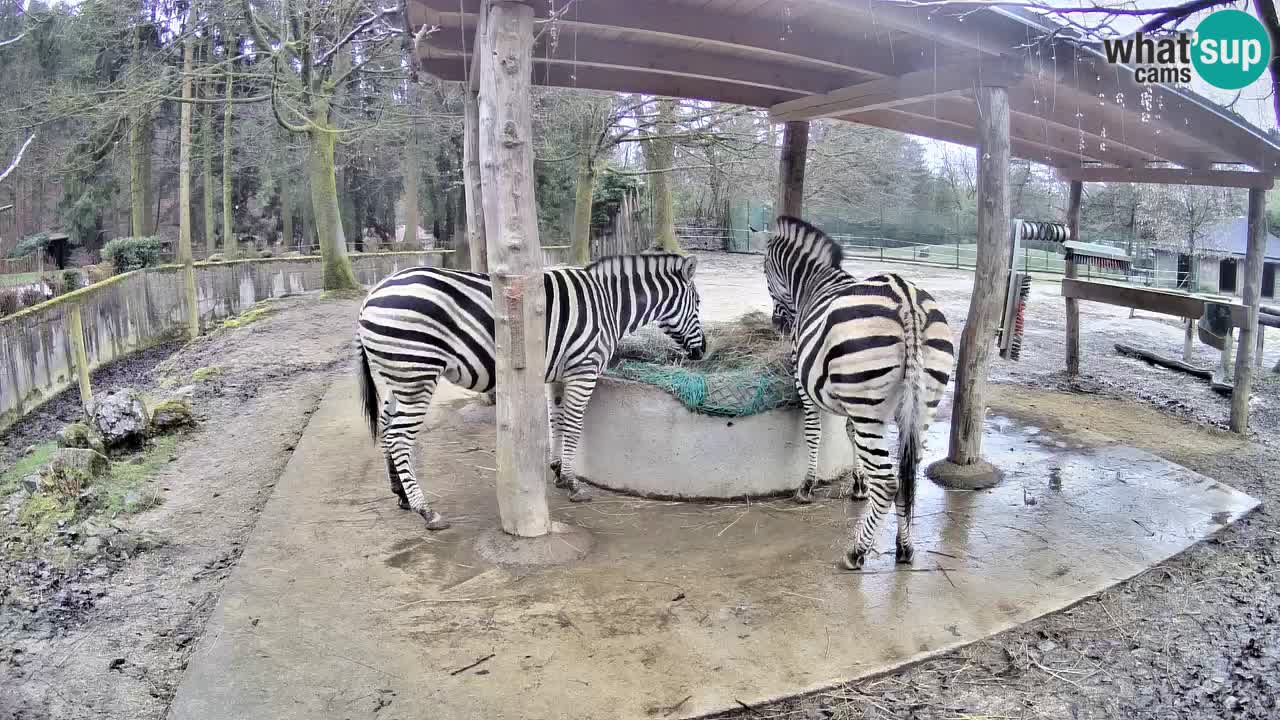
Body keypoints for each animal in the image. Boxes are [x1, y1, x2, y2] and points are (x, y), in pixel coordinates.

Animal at [355, 252, 706, 527]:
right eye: (699, 304)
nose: (702, 353)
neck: (608, 303)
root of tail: (370, 298)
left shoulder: (558, 373)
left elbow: (557, 421)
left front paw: (558, 471)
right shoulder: (583, 369)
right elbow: (573, 424)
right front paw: (572, 482)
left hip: (396, 376)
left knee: (386, 426)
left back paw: (400, 494)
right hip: (418, 372)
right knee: (399, 436)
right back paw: (425, 510)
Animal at [762, 215, 957, 568]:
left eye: (766, 271)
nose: (779, 325)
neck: (813, 283)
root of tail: (906, 299)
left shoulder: (805, 385)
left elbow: (814, 433)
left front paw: (807, 487)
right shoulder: (850, 401)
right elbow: (851, 435)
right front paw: (858, 483)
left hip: (869, 404)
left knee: (890, 482)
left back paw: (857, 552)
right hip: (920, 404)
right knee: (908, 475)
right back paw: (904, 548)